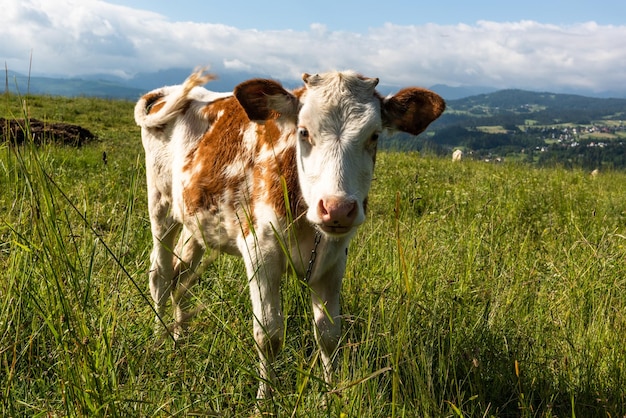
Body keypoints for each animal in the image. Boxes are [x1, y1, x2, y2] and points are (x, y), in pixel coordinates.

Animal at [134, 69, 442, 398]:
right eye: (303, 132)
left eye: (374, 136)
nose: (337, 208)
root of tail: (167, 91)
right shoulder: (260, 250)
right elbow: (268, 335)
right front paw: (264, 399)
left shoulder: (335, 259)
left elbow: (329, 334)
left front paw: (330, 395)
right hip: (160, 204)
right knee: (161, 274)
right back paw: (160, 339)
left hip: (197, 222)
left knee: (182, 277)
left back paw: (180, 337)